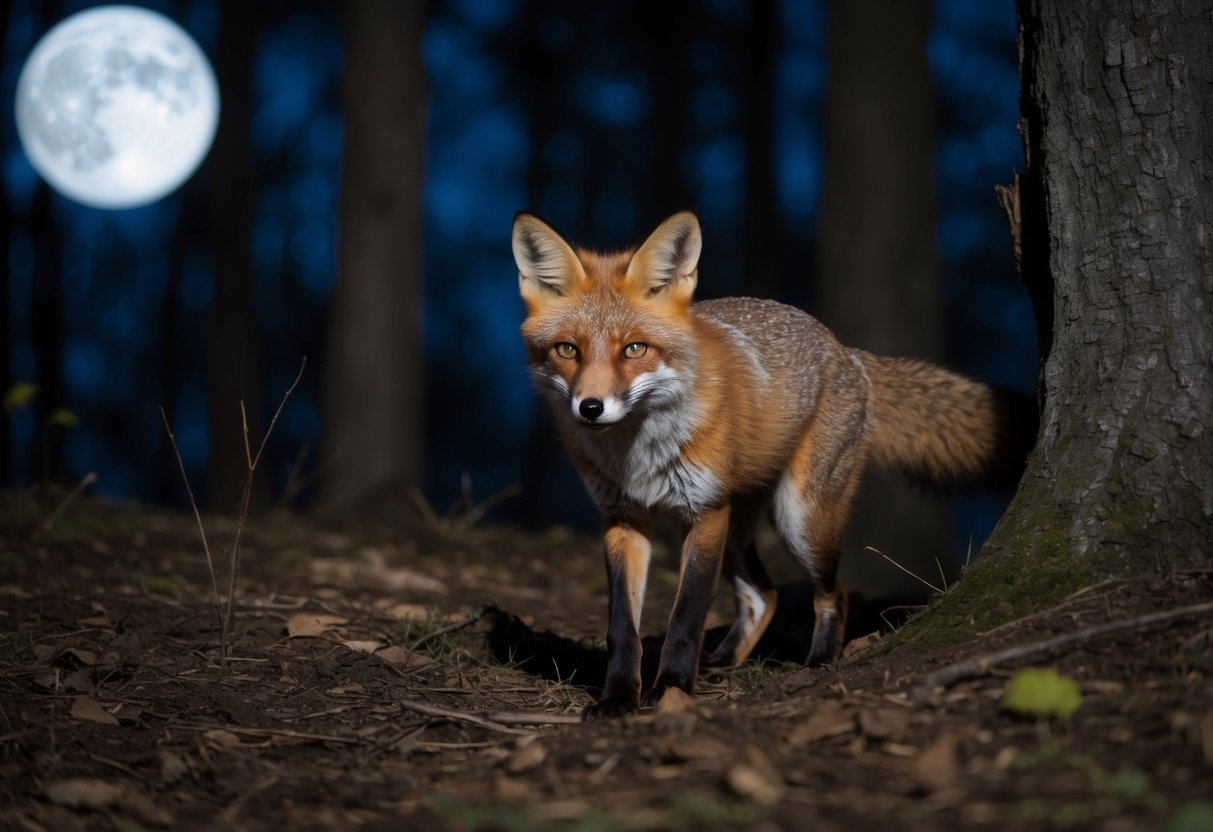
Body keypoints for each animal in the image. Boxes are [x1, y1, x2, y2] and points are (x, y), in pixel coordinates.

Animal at [512, 210, 1035, 721]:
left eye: (634, 349)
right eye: (568, 350)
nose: (591, 408)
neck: (636, 455)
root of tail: (844, 350)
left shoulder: (705, 513)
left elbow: (686, 617)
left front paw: (671, 689)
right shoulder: (623, 519)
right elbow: (623, 627)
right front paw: (619, 698)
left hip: (798, 521)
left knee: (833, 593)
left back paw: (819, 661)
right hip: (736, 530)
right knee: (764, 595)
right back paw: (722, 661)